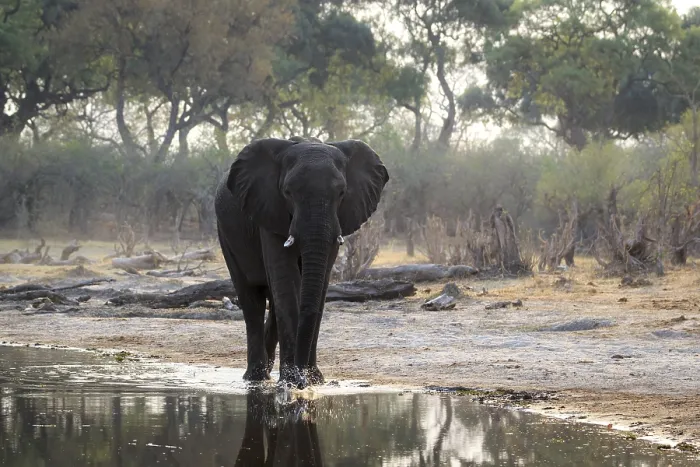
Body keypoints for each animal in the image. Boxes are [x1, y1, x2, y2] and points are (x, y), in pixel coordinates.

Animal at [215, 137, 389, 389]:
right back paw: (256, 378)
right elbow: (286, 281)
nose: (301, 381)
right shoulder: (269, 209)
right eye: (287, 192)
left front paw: (315, 380)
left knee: (272, 302)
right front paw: (290, 381)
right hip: (226, 235)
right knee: (252, 299)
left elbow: (320, 283)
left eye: (342, 193)